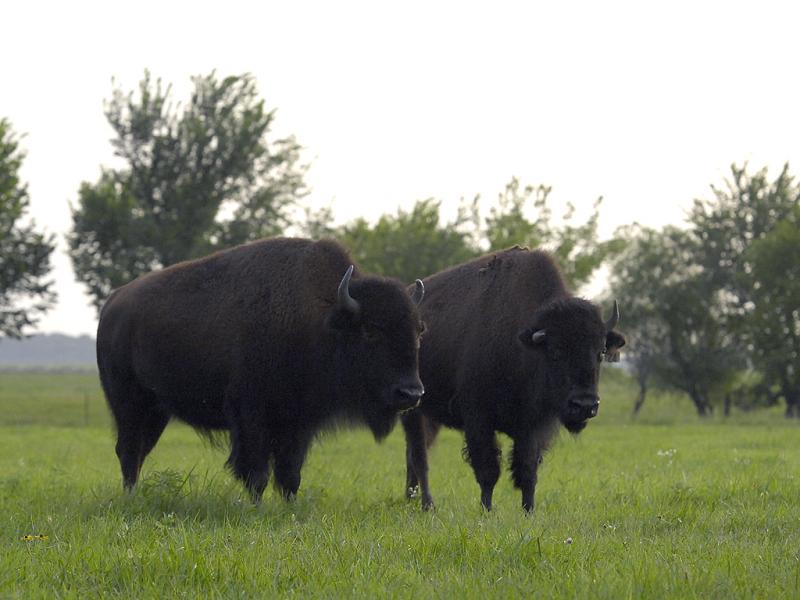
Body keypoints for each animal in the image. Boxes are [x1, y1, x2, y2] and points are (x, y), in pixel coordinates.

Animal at [97, 238, 428, 502]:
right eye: (371, 330)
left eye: (418, 331)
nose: (411, 393)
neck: (319, 318)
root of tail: (113, 304)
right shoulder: (251, 415)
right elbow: (257, 471)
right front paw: (256, 505)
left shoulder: (299, 422)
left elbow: (290, 473)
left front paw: (289, 506)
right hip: (129, 405)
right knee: (128, 449)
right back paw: (130, 497)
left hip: (157, 411)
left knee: (140, 450)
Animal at [400, 246, 624, 512]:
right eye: (555, 351)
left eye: (600, 352)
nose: (585, 405)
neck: (523, 345)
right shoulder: (479, 419)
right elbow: (488, 470)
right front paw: (486, 510)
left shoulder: (533, 427)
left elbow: (527, 472)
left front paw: (529, 511)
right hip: (413, 411)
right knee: (419, 457)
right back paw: (427, 505)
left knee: (414, 457)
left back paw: (411, 499)